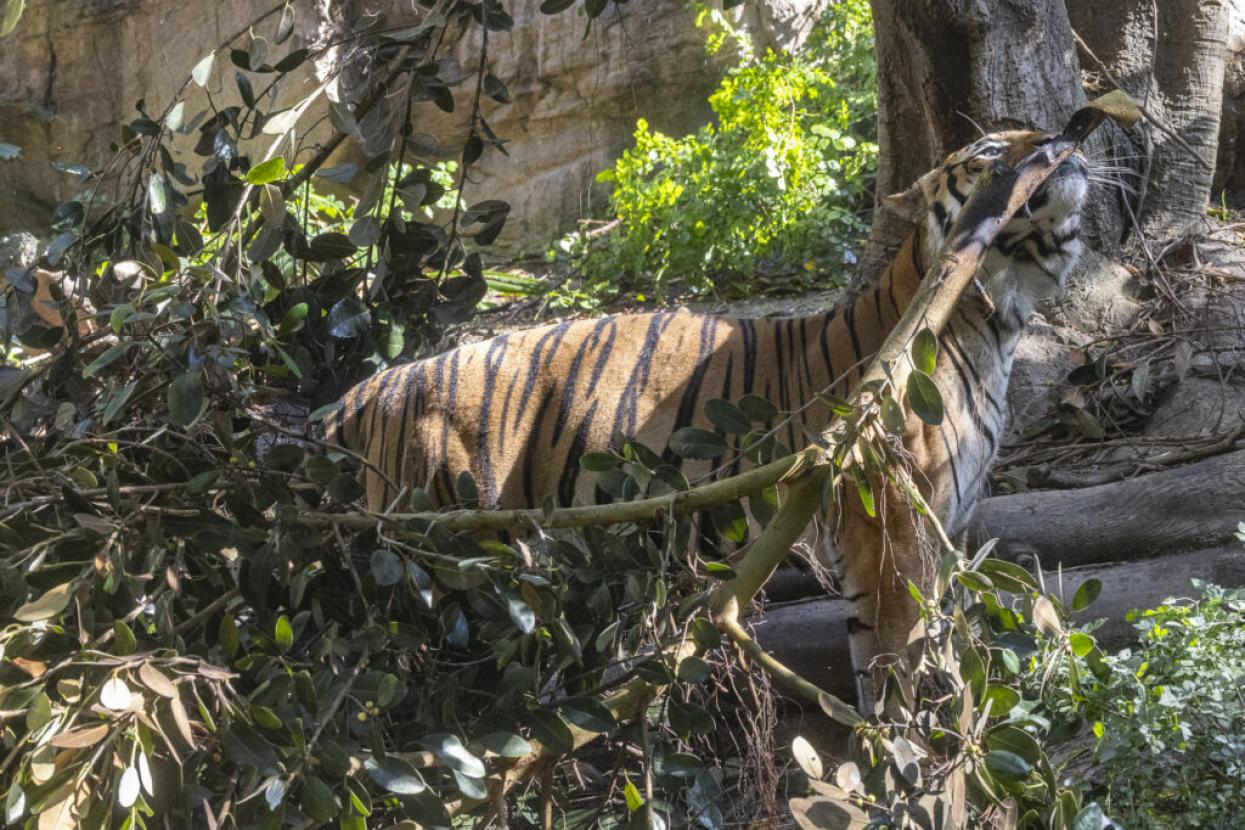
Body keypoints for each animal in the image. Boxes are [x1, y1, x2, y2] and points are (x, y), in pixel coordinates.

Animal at [328, 129, 1089, 703]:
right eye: (987, 149)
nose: (1061, 139)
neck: (999, 317)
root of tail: (371, 387)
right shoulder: (892, 524)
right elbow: (897, 652)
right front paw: (913, 756)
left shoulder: (942, 524)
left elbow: (915, 637)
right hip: (448, 554)